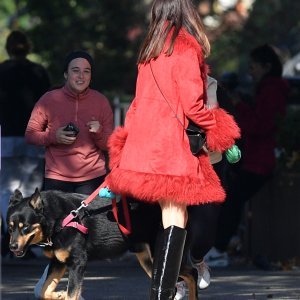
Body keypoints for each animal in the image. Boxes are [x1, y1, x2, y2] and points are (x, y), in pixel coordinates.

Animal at [6, 189, 197, 298]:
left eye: (25, 227)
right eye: (10, 228)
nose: (12, 247)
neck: (59, 219)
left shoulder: (78, 262)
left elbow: (71, 293)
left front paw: (63, 294)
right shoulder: (58, 262)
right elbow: (44, 291)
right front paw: (58, 294)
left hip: (161, 253)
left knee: (192, 273)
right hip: (149, 261)